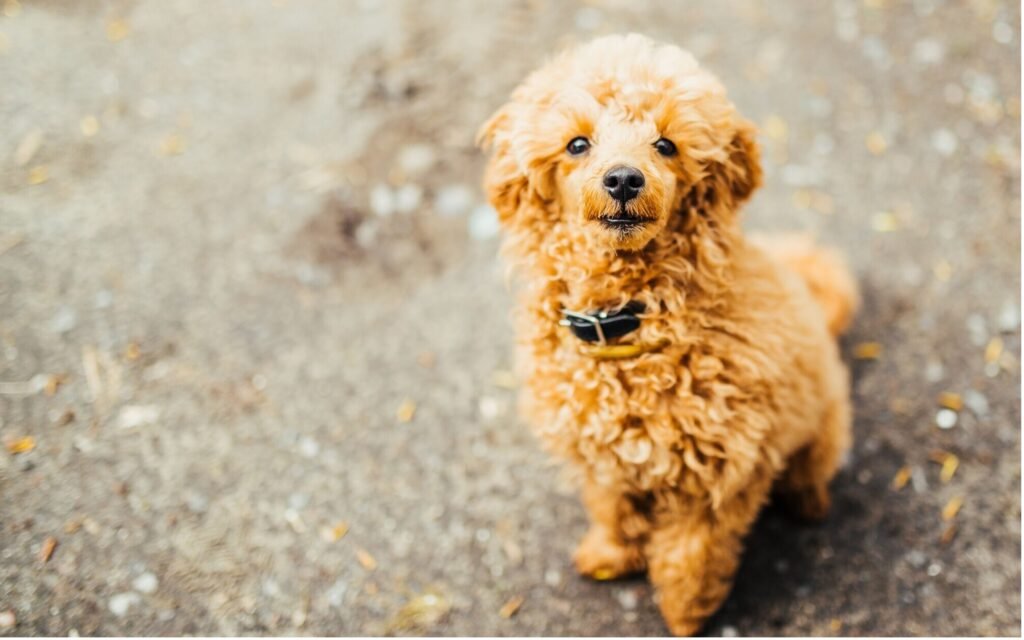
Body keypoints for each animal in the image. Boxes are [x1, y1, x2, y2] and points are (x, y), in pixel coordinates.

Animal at [477, 34, 856, 634]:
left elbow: (690, 558)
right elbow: (612, 511)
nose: (623, 179)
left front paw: (684, 617)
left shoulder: (717, 479)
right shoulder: (601, 457)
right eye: (577, 144)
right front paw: (609, 557)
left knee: (810, 472)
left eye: (666, 145)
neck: (628, 322)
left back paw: (808, 503)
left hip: (823, 427)